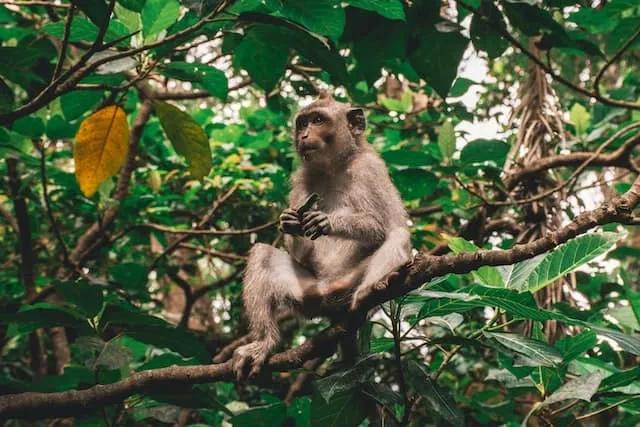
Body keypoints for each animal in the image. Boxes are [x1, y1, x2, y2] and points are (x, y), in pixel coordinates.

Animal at [231, 91, 412, 379]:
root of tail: (332, 295)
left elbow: (386, 226)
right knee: (262, 254)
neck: (334, 168)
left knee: (398, 236)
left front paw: (328, 221)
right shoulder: (301, 178)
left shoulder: (370, 168)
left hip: (349, 284)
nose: (304, 135)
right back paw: (264, 342)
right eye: (302, 123)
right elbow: (300, 251)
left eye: (318, 120)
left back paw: (371, 289)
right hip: (309, 295)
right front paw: (290, 221)